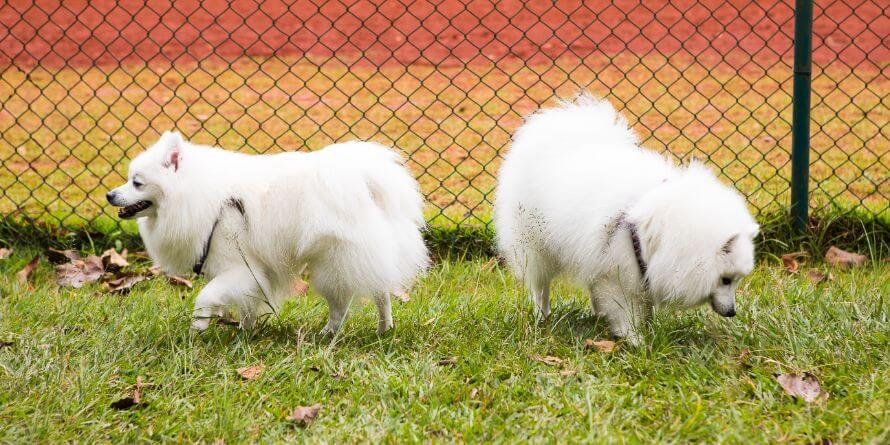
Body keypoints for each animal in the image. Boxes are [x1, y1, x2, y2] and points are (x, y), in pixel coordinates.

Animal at [107, 132, 426, 332]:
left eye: (136, 183)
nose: (110, 195)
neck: (200, 196)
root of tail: (361, 177)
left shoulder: (239, 268)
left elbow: (206, 297)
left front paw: (198, 327)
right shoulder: (252, 274)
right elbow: (248, 304)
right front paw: (245, 330)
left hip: (332, 263)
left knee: (345, 303)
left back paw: (330, 332)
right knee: (380, 292)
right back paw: (383, 328)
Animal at [492, 94, 756, 344]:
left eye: (736, 280)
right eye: (725, 280)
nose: (732, 312)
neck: (662, 233)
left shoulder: (641, 271)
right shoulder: (617, 274)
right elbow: (625, 312)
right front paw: (635, 339)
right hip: (536, 248)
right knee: (540, 287)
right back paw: (542, 317)